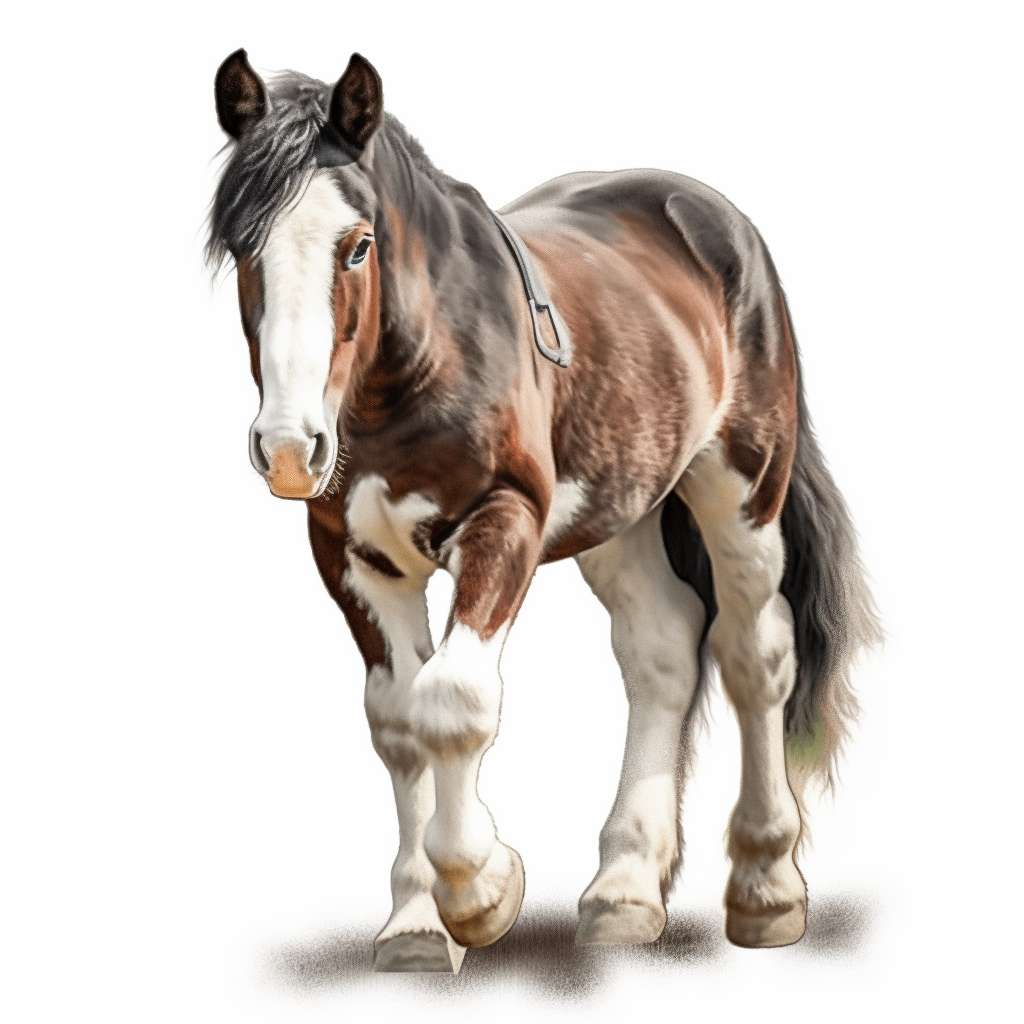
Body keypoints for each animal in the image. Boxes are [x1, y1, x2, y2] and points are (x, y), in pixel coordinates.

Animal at [208, 49, 880, 973]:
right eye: (244, 245)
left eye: (359, 245)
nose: (287, 447)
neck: (421, 366)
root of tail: (713, 216)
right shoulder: (353, 556)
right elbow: (399, 722)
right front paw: (416, 924)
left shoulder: (506, 521)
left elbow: (453, 703)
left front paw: (482, 890)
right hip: (622, 515)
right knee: (663, 650)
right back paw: (625, 892)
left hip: (744, 489)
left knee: (755, 653)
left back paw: (766, 889)